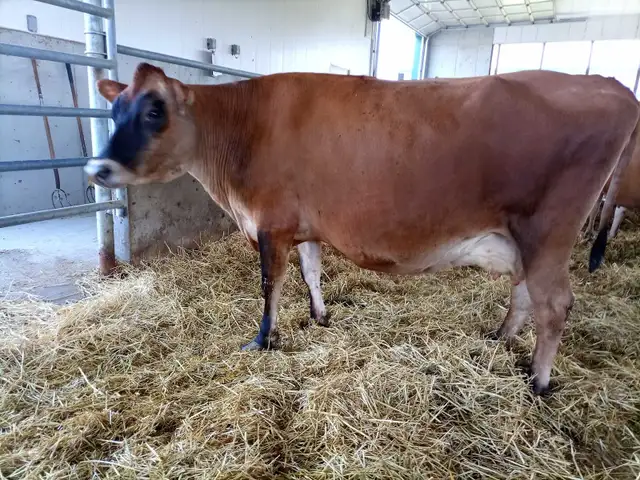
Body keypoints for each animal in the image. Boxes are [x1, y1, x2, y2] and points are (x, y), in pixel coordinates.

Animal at [84, 63, 639, 395]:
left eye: (155, 110)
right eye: (114, 108)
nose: (97, 168)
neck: (243, 130)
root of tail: (612, 85)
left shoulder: (270, 225)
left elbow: (270, 286)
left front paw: (262, 340)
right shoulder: (302, 226)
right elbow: (310, 273)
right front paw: (320, 316)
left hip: (549, 232)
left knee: (554, 305)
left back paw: (538, 381)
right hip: (525, 238)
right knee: (523, 294)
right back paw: (499, 340)